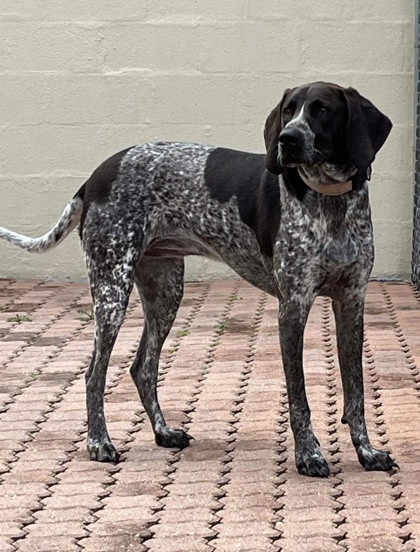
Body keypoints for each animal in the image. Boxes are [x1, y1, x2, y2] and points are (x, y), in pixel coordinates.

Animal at [0, 81, 398, 474]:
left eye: (322, 110)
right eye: (289, 111)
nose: (287, 139)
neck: (330, 201)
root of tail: (96, 175)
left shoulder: (352, 303)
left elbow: (356, 393)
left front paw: (367, 452)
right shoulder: (293, 308)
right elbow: (299, 398)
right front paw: (309, 456)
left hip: (165, 292)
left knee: (143, 368)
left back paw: (163, 432)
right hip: (112, 289)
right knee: (94, 374)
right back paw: (99, 443)